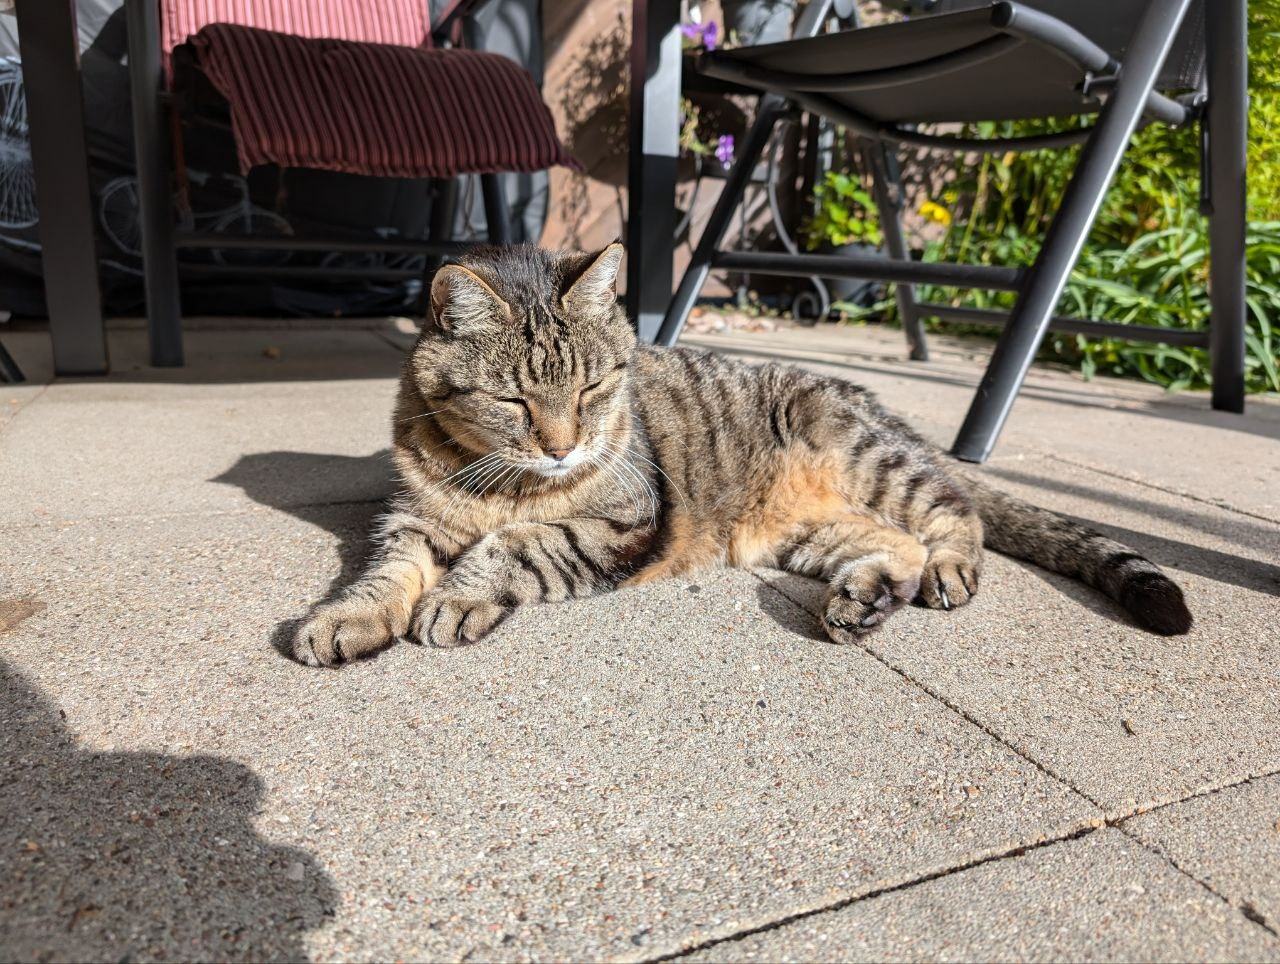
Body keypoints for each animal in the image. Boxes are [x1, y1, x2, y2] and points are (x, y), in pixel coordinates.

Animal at [290, 240, 1187, 665]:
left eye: (590, 390)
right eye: (514, 402)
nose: (563, 446)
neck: (500, 481)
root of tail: (878, 404)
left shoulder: (624, 522)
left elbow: (518, 545)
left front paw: (459, 596)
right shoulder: (410, 522)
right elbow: (384, 573)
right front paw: (348, 616)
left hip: (870, 457)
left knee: (955, 510)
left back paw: (949, 568)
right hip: (808, 532)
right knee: (889, 543)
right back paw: (867, 599)